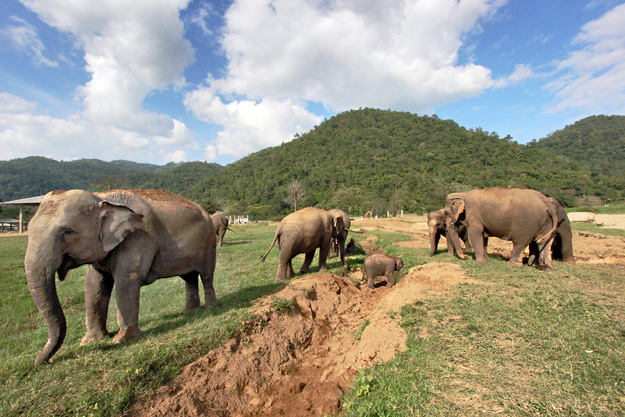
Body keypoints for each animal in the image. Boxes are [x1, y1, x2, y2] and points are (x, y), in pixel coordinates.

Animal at [23, 188, 217, 364]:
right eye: (28, 229)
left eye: (67, 232)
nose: (44, 362)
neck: (102, 197)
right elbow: (93, 284)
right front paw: (89, 342)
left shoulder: (139, 236)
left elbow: (127, 280)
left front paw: (122, 340)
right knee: (189, 277)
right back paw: (189, 311)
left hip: (208, 243)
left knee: (206, 276)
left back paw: (209, 308)